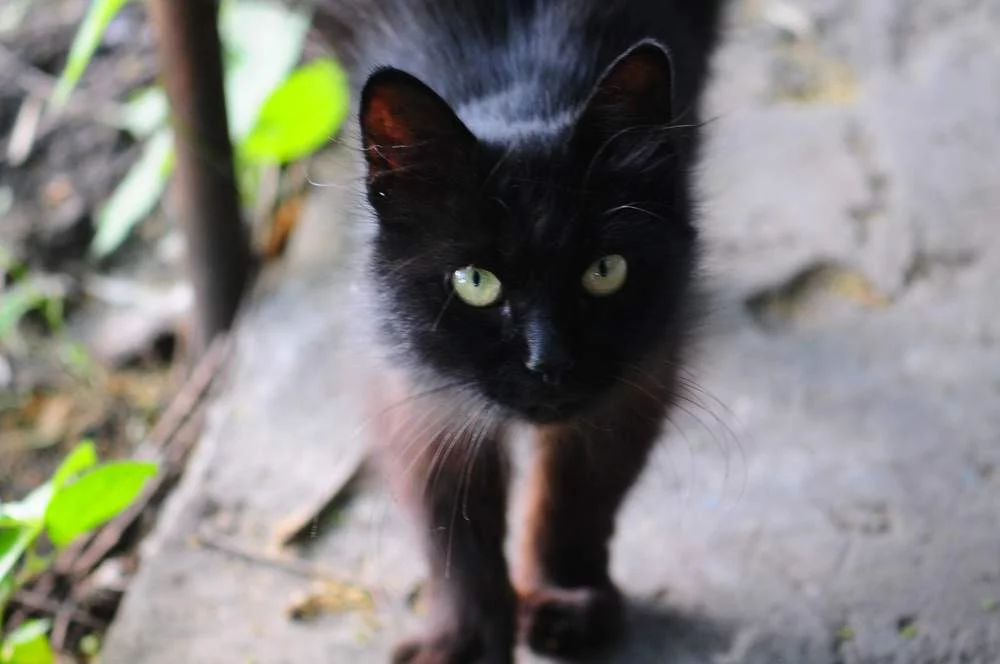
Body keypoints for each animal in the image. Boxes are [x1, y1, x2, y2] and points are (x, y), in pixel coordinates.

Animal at [313, 1, 727, 661]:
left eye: (604, 271)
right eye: (475, 281)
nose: (548, 361)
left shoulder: (640, 371)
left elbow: (577, 499)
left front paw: (564, 599)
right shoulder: (416, 390)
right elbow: (453, 528)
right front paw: (468, 638)